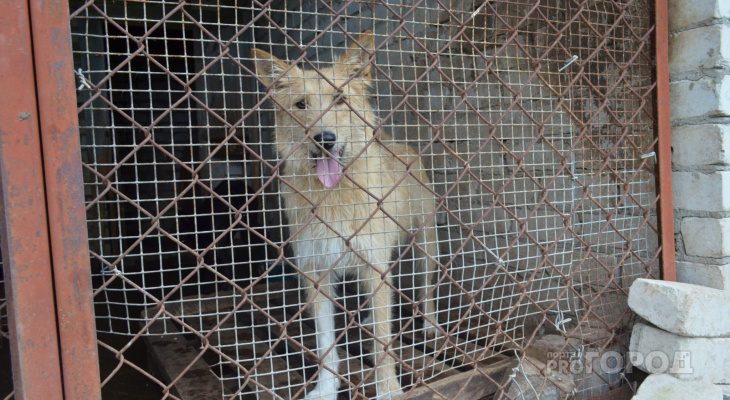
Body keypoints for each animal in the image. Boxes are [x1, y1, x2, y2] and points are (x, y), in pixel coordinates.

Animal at [252, 32, 438, 400]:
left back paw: (432, 325)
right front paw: (326, 387)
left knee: (427, 286)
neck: (334, 195)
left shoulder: (374, 264)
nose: (325, 139)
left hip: (425, 244)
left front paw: (389, 390)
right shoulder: (316, 273)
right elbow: (325, 344)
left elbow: (383, 345)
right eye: (301, 104)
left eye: (339, 100)